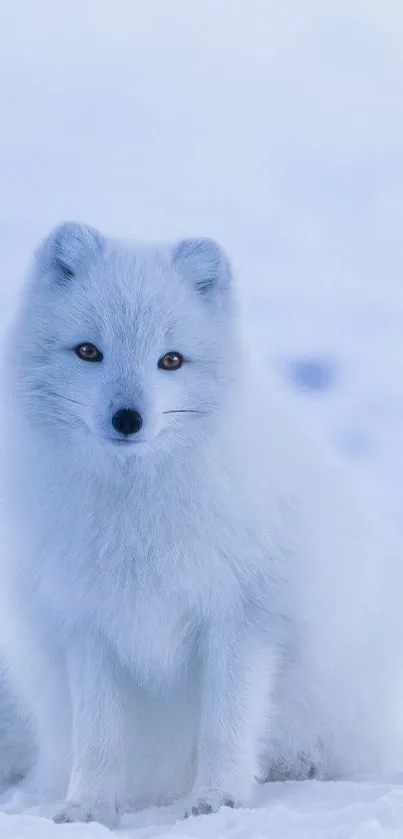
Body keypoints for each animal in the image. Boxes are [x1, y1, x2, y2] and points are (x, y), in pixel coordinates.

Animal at [1, 223, 403, 828]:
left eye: (171, 360)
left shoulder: (242, 618)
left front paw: (218, 801)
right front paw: (87, 808)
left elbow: (226, 723)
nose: (128, 419)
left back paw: (298, 765)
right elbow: (98, 736)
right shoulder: (88, 625)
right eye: (89, 351)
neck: (136, 512)